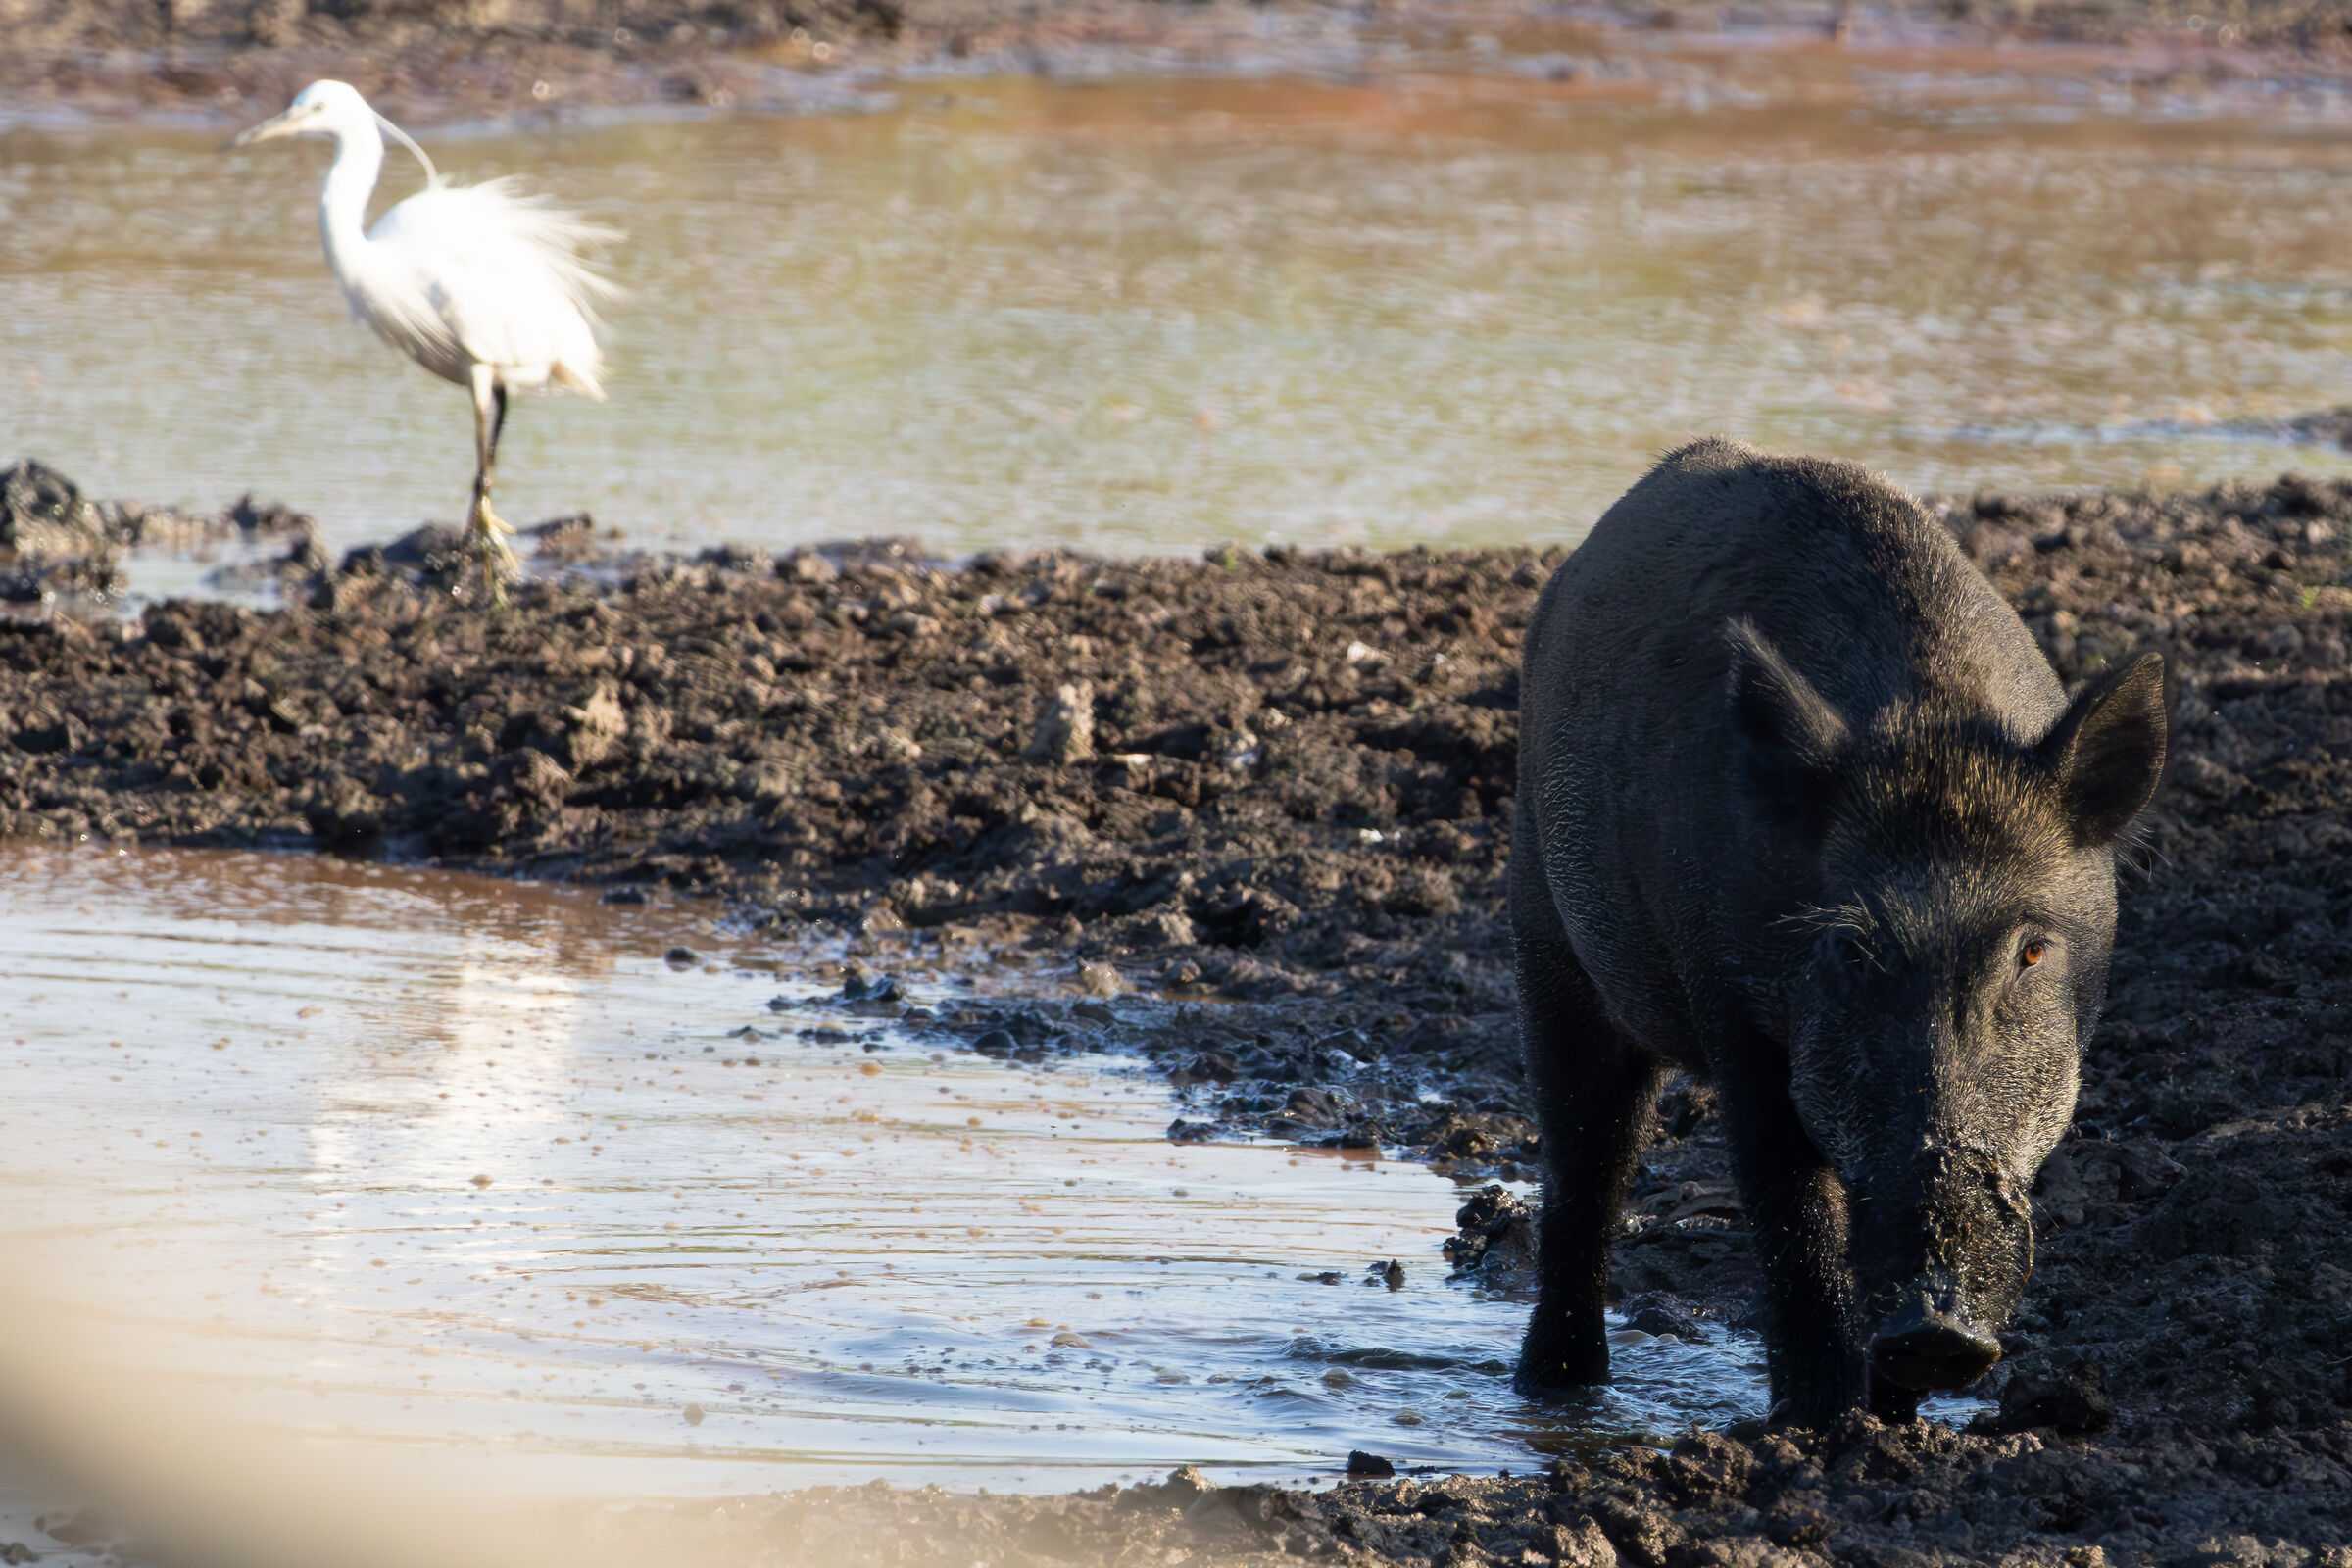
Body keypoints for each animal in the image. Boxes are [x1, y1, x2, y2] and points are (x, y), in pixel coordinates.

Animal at [1511, 440, 2167, 1424]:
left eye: (2032, 950)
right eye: (1853, 948)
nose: (1939, 1328)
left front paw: (1891, 1425)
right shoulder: (1732, 1006)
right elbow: (1790, 1211)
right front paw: (1816, 1424)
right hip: (1546, 928)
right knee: (1586, 1164)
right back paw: (1556, 1390)